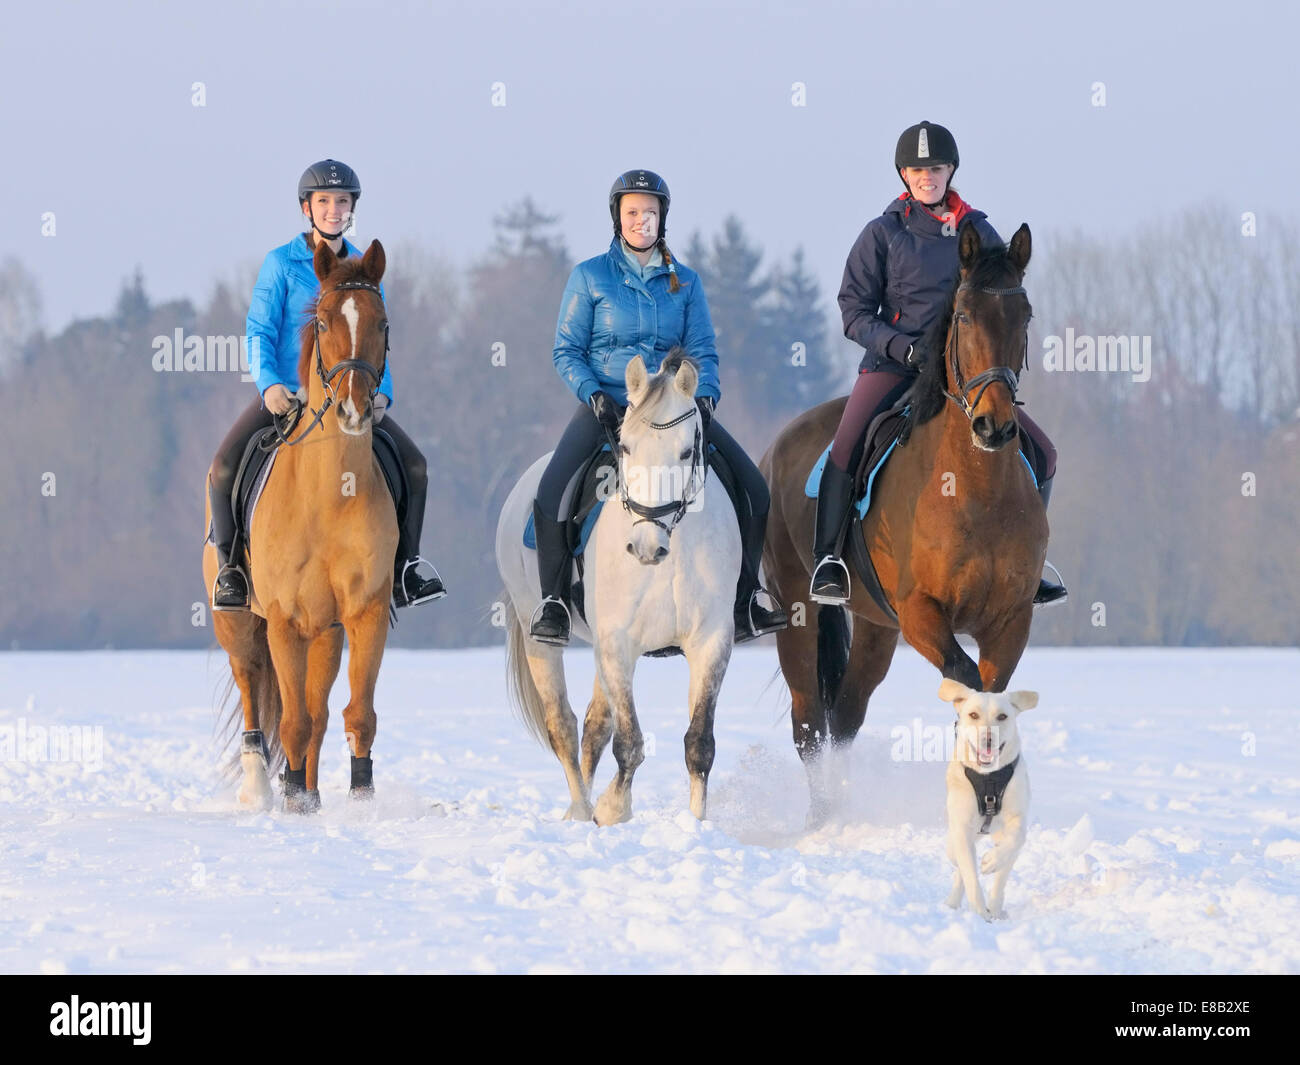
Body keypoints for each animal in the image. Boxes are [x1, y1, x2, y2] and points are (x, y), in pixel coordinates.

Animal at [202, 238, 398, 813]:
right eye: (326, 320)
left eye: (382, 323)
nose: (355, 410)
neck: (330, 494)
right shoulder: (284, 621)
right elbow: (289, 723)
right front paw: (292, 804)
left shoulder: (363, 612)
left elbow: (356, 715)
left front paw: (359, 799)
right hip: (240, 628)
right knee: (254, 695)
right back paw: (262, 788)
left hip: (324, 633)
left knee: (319, 713)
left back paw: (306, 788)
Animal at [495, 351, 741, 825]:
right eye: (625, 447)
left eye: (687, 451)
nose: (645, 547)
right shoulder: (617, 643)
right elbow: (630, 742)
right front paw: (611, 810)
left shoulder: (711, 642)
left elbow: (699, 744)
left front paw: (696, 824)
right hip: (541, 636)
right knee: (563, 725)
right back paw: (580, 810)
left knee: (594, 727)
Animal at [760, 223, 1046, 823]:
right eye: (964, 315)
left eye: (1024, 315)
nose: (994, 425)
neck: (975, 488)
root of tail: (776, 446)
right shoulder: (921, 613)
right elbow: (966, 684)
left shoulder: (1011, 620)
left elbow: (992, 694)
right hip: (798, 610)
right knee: (809, 724)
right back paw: (821, 820)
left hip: (876, 628)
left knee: (844, 716)